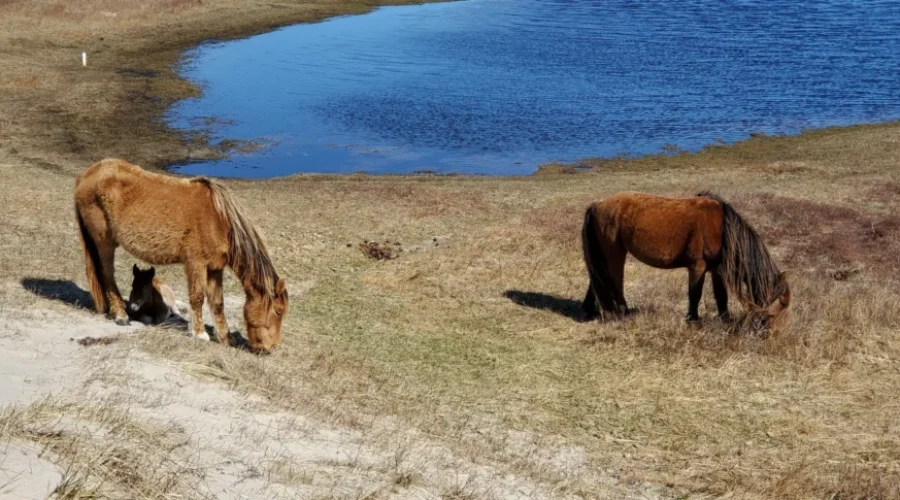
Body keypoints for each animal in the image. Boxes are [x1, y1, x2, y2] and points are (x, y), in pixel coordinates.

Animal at [74, 159, 288, 352]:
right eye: (278, 311)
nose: (270, 348)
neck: (218, 220)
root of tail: (87, 175)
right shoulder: (196, 263)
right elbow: (197, 297)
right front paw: (200, 334)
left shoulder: (214, 268)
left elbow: (217, 302)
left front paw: (225, 338)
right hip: (104, 243)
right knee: (108, 276)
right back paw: (121, 315)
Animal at [581, 191, 791, 334]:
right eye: (781, 302)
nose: (770, 333)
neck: (721, 228)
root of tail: (598, 204)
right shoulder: (697, 267)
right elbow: (695, 294)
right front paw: (693, 319)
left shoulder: (716, 270)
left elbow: (721, 296)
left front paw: (725, 319)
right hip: (614, 254)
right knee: (614, 282)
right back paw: (622, 313)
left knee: (597, 281)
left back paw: (590, 311)